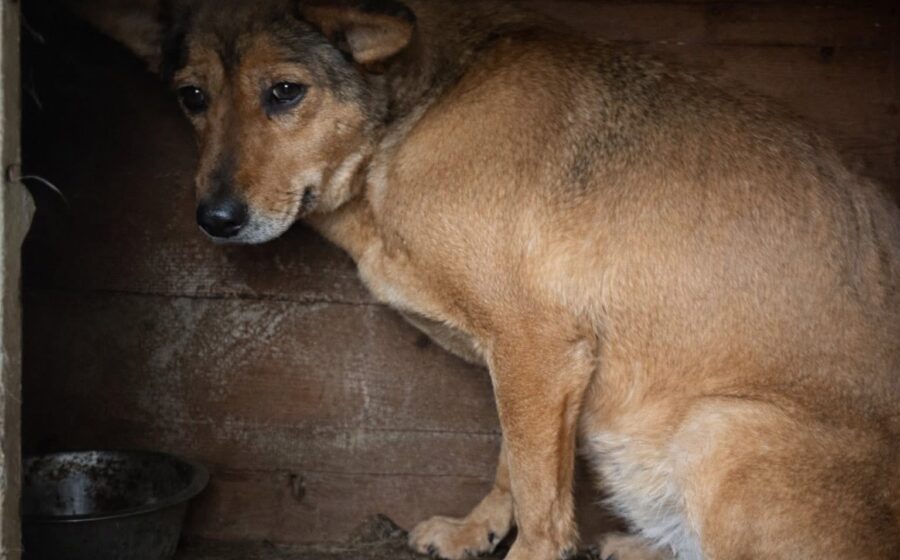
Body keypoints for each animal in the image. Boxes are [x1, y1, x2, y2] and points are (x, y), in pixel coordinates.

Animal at [76, 1, 900, 558]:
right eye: (192, 98)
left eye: (284, 92)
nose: (214, 219)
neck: (416, 117)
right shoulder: (528, 362)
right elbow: (512, 462)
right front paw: (477, 530)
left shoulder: (538, 343)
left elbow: (539, 495)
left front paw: (529, 551)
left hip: (721, 428)